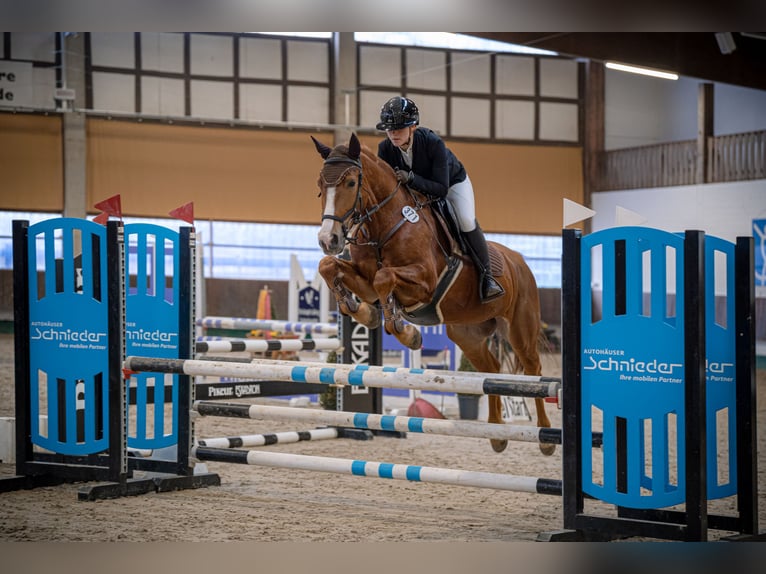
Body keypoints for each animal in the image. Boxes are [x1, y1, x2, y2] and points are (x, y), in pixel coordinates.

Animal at [310, 133, 552, 456]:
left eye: (350, 183)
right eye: (320, 184)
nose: (329, 239)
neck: (385, 223)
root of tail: (520, 262)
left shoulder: (424, 281)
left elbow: (385, 277)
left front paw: (406, 332)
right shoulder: (366, 282)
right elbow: (330, 268)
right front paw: (364, 311)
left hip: (520, 328)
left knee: (533, 370)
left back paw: (545, 438)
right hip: (467, 333)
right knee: (489, 370)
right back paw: (497, 434)